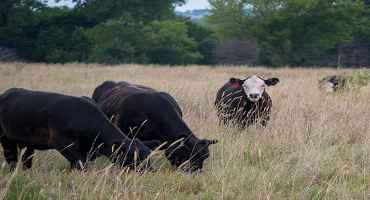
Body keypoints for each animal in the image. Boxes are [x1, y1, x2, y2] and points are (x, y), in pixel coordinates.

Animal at [0, 88, 152, 170]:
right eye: (134, 156)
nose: (150, 170)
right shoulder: (64, 145)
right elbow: (81, 166)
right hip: (6, 139)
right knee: (11, 159)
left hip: (28, 144)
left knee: (26, 159)